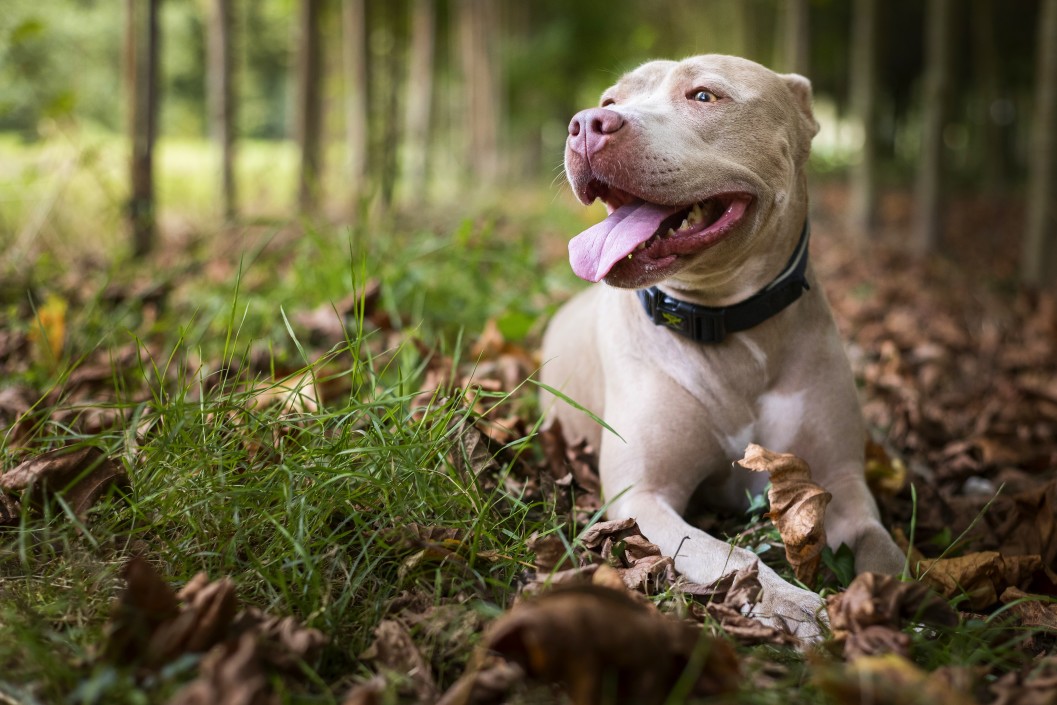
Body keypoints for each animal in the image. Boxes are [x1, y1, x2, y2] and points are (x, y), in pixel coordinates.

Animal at [541, 53, 904, 638]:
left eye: (704, 96)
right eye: (610, 101)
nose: (587, 124)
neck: (725, 323)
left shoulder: (843, 481)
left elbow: (885, 551)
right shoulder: (642, 496)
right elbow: (732, 555)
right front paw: (793, 604)